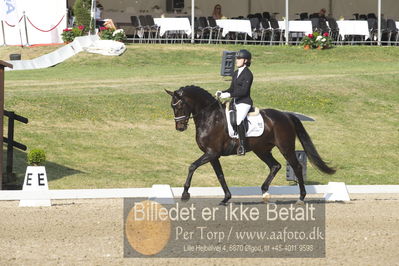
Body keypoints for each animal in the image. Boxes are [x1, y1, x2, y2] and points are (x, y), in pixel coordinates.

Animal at [164, 86, 336, 205]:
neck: (210, 117)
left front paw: (185, 194)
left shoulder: (212, 153)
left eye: (179, 106)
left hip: (285, 148)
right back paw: (265, 193)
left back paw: (301, 197)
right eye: (172, 107)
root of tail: (286, 115)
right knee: (275, 166)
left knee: (297, 167)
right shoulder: (213, 155)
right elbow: (220, 176)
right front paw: (226, 198)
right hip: (262, 150)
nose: (180, 127)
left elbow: (192, 166)